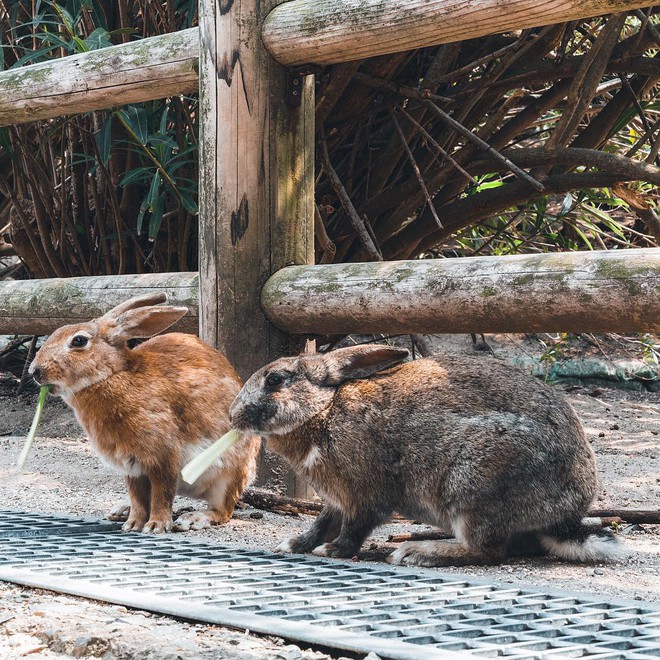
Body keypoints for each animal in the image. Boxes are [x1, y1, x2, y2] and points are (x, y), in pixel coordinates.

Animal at [30, 292, 258, 532]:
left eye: (79, 341)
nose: (35, 371)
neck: (112, 375)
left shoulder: (163, 457)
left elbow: (161, 493)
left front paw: (155, 526)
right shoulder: (132, 467)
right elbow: (137, 496)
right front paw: (133, 524)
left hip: (228, 473)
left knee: (223, 510)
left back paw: (193, 518)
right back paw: (121, 511)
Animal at [229, 346, 628, 568]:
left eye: (275, 380)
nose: (234, 416)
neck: (323, 410)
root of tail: (567, 513)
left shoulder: (363, 494)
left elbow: (355, 527)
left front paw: (333, 550)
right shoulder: (335, 499)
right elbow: (321, 523)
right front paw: (295, 545)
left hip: (473, 485)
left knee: (487, 551)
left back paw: (416, 553)